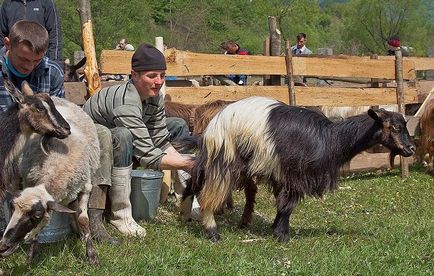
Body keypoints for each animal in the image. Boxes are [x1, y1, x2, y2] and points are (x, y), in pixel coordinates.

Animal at [0, 80, 99, 266]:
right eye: (39, 108)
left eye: (37, 215)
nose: (3, 246)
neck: (57, 170)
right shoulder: (29, 181)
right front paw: (31, 255)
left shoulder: (86, 187)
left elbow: (83, 220)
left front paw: (92, 256)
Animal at [181, 96, 418, 242]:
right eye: (394, 127)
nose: (411, 148)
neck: (329, 139)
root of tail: (212, 126)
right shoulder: (295, 176)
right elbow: (287, 206)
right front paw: (282, 236)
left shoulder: (282, 176)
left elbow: (281, 205)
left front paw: (275, 229)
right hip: (224, 159)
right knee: (208, 193)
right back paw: (212, 232)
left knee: (193, 181)